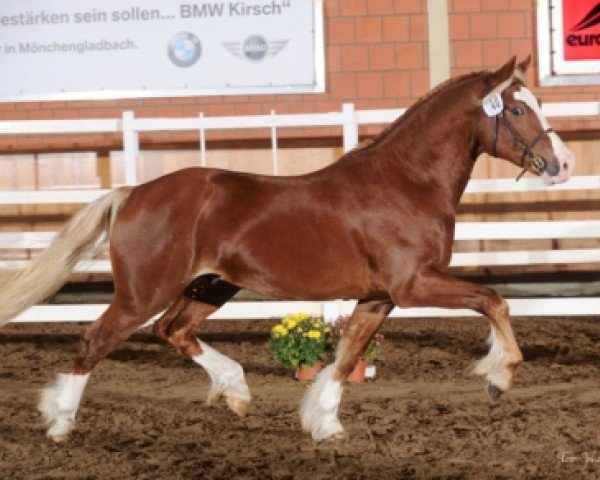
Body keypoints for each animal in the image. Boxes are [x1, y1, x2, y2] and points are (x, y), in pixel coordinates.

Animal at [0, 56, 576, 442]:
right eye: (517, 109)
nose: (564, 164)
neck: (405, 183)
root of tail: (132, 193)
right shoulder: (414, 285)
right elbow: (493, 300)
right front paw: (498, 377)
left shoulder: (380, 296)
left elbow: (347, 355)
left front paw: (324, 423)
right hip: (145, 292)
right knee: (95, 339)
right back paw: (59, 424)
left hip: (210, 286)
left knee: (173, 331)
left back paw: (236, 391)